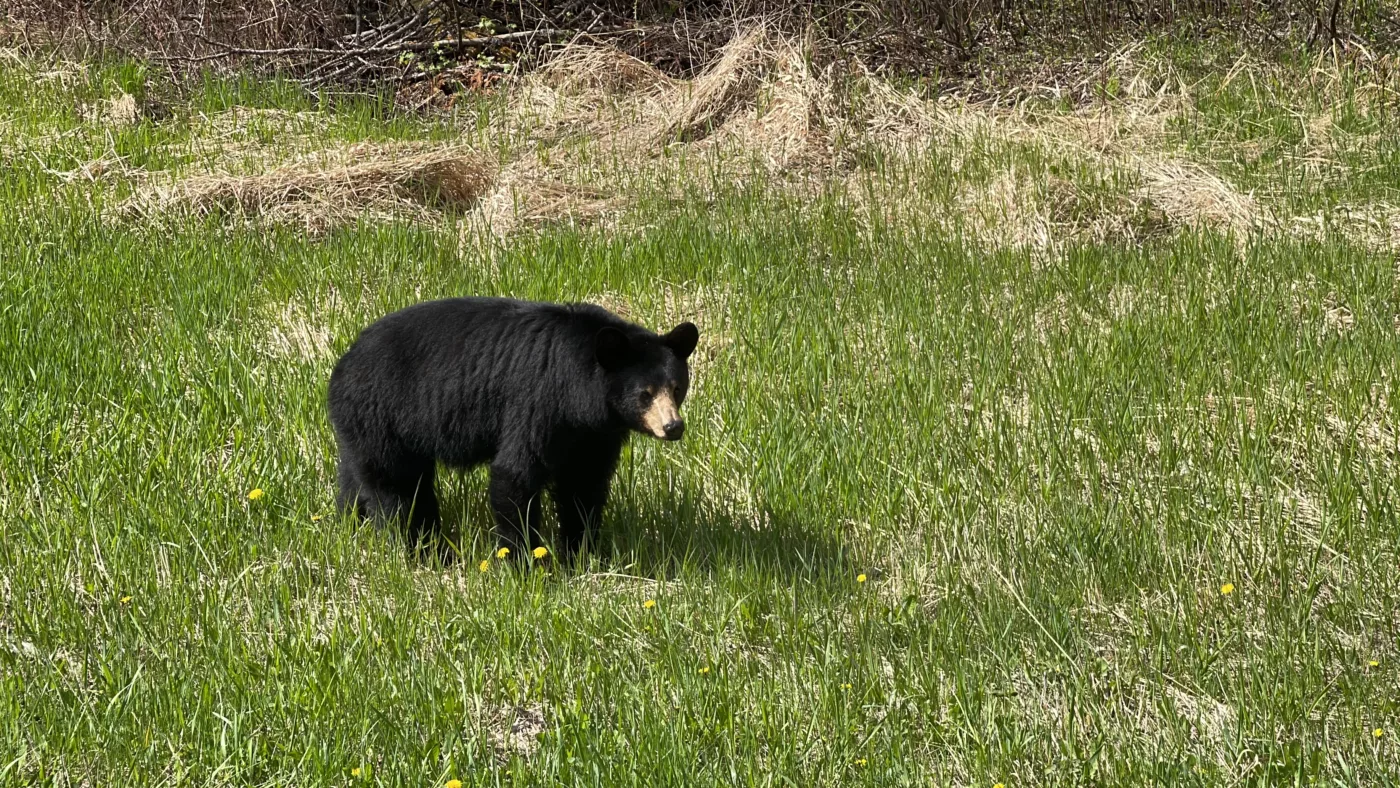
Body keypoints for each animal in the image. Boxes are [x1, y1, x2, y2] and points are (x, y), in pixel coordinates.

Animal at [327, 298, 700, 559]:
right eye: (644, 394)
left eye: (677, 387)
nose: (673, 427)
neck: (582, 394)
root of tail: (343, 363)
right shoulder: (539, 401)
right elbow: (516, 473)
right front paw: (523, 560)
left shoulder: (595, 434)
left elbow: (584, 484)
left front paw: (581, 553)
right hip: (385, 414)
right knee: (399, 486)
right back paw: (424, 549)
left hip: (364, 428)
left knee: (356, 478)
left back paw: (351, 524)